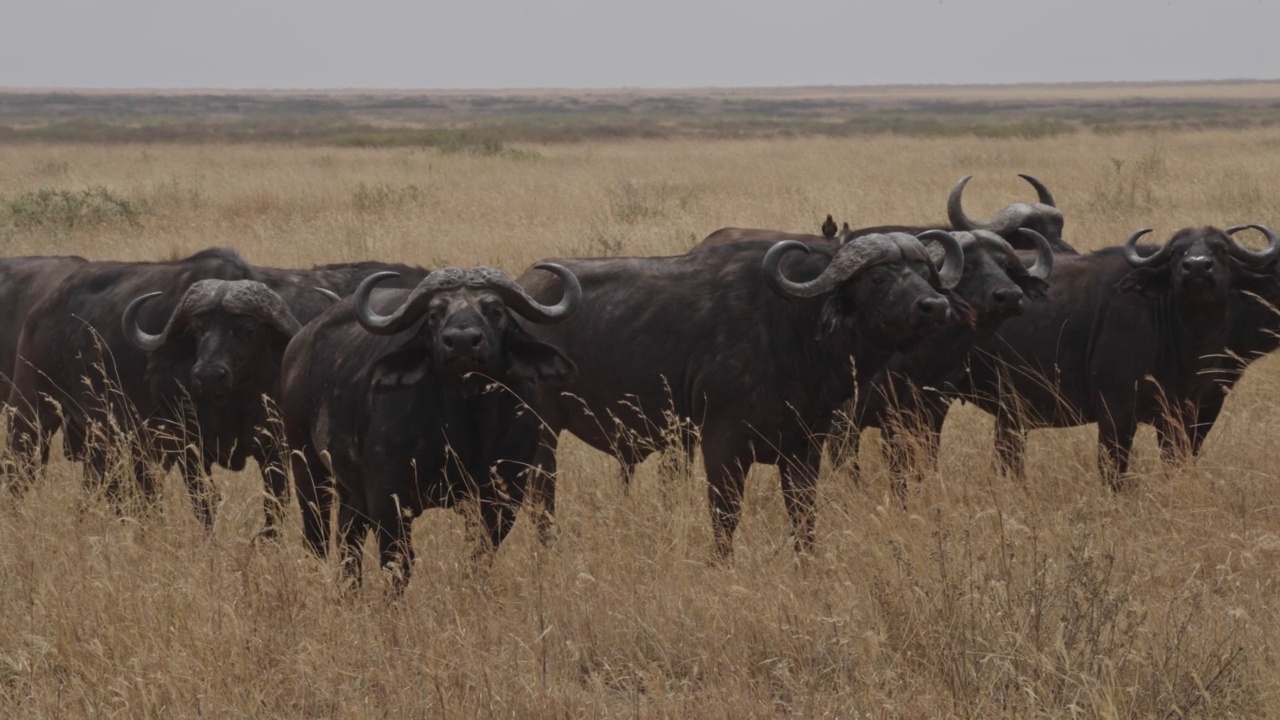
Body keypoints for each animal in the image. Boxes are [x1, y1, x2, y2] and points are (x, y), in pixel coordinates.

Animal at [282, 263, 583, 584]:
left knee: (348, 537)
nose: (462, 341)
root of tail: (298, 345)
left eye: (495, 309)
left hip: (351, 489)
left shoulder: (503, 494)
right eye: (435, 313)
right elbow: (398, 563)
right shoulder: (388, 498)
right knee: (317, 535)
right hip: (306, 465)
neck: (465, 423)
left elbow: (480, 555)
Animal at [519, 234, 967, 556]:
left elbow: (803, 517)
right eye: (878, 278)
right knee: (541, 498)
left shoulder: (806, 447)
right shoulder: (723, 444)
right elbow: (726, 517)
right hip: (542, 433)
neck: (791, 329)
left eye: (924, 272)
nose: (936, 305)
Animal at [957, 222, 1274, 481]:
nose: (1197, 267)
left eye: (1221, 251)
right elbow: (1113, 468)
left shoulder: (1184, 417)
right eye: (1176, 253)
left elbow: (1174, 463)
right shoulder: (1115, 412)